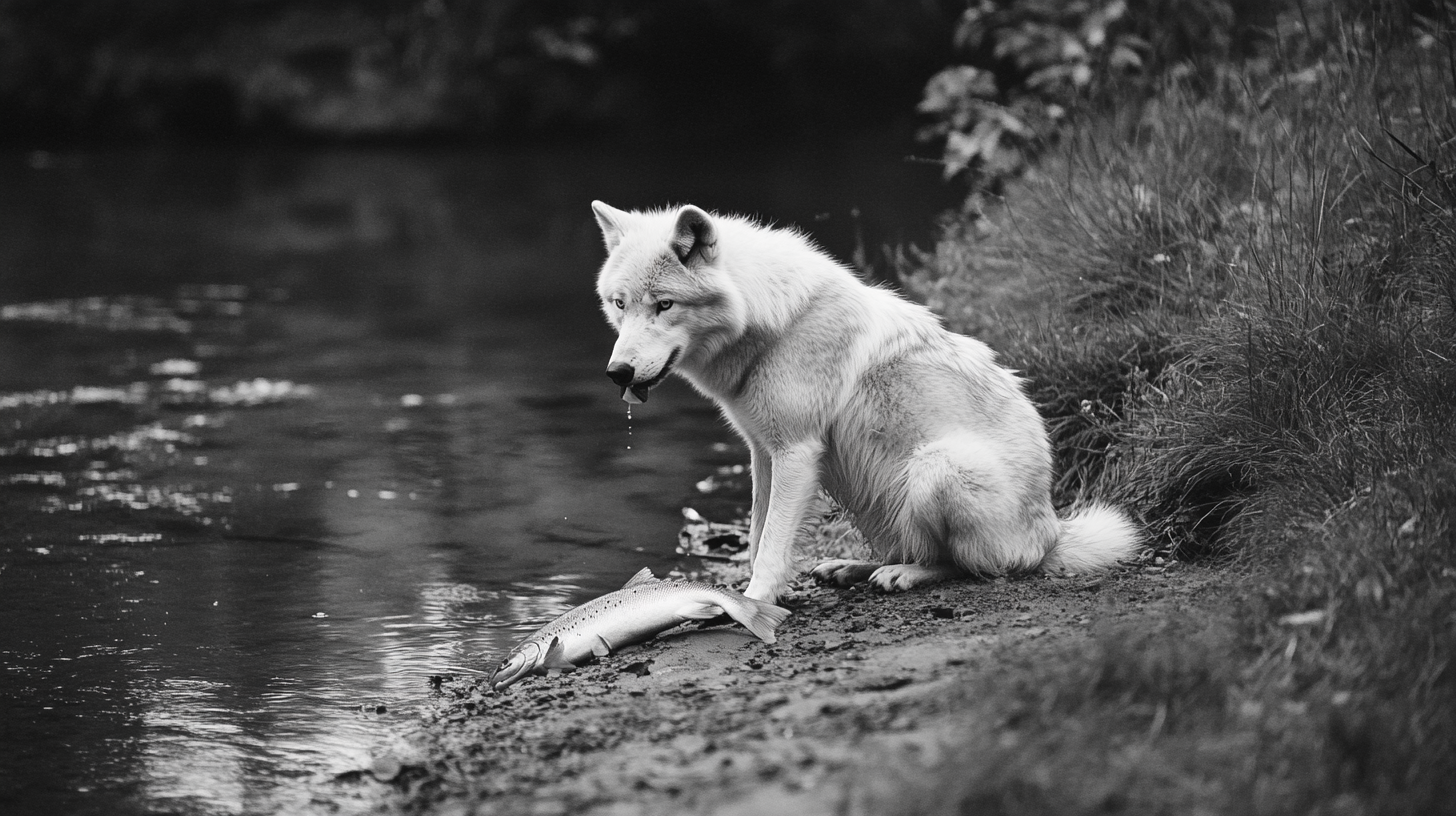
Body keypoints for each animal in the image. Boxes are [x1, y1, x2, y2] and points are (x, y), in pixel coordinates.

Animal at [588, 199, 1135, 603]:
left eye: (665, 305)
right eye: (620, 304)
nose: (618, 372)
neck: (775, 324)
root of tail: (1051, 532)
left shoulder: (797, 453)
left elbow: (771, 544)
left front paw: (754, 601)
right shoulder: (763, 453)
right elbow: (759, 531)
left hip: (935, 466)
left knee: (968, 566)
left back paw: (905, 575)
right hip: (882, 502)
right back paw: (853, 568)